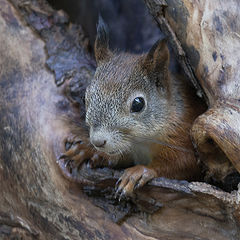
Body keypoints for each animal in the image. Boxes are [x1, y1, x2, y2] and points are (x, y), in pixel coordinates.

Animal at [59, 17, 205, 197]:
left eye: (138, 104)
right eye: (85, 97)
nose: (98, 142)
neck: (141, 142)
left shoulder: (184, 135)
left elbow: (183, 163)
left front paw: (139, 172)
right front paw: (87, 150)